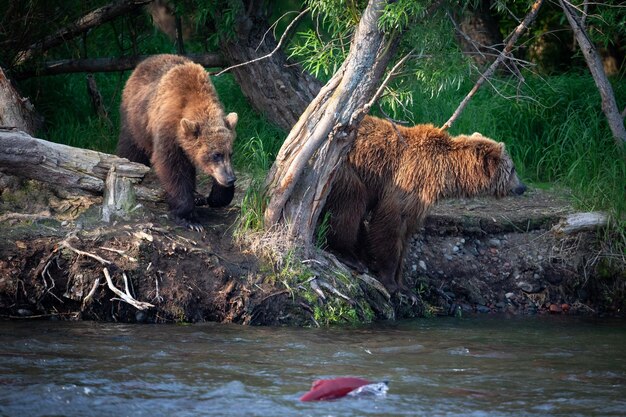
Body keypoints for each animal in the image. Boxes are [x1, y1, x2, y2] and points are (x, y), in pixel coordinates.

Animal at [116, 53, 236, 229]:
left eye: (230, 153)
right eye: (216, 155)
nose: (230, 179)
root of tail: (147, 59)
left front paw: (216, 197)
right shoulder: (168, 131)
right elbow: (173, 168)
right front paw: (189, 218)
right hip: (135, 121)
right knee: (131, 149)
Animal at [324, 115, 524, 294]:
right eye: (513, 168)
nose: (523, 187)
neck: (446, 171)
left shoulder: (420, 195)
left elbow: (406, 234)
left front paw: (403, 284)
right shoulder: (411, 179)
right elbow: (390, 224)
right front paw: (390, 281)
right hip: (342, 169)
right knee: (351, 202)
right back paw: (349, 255)